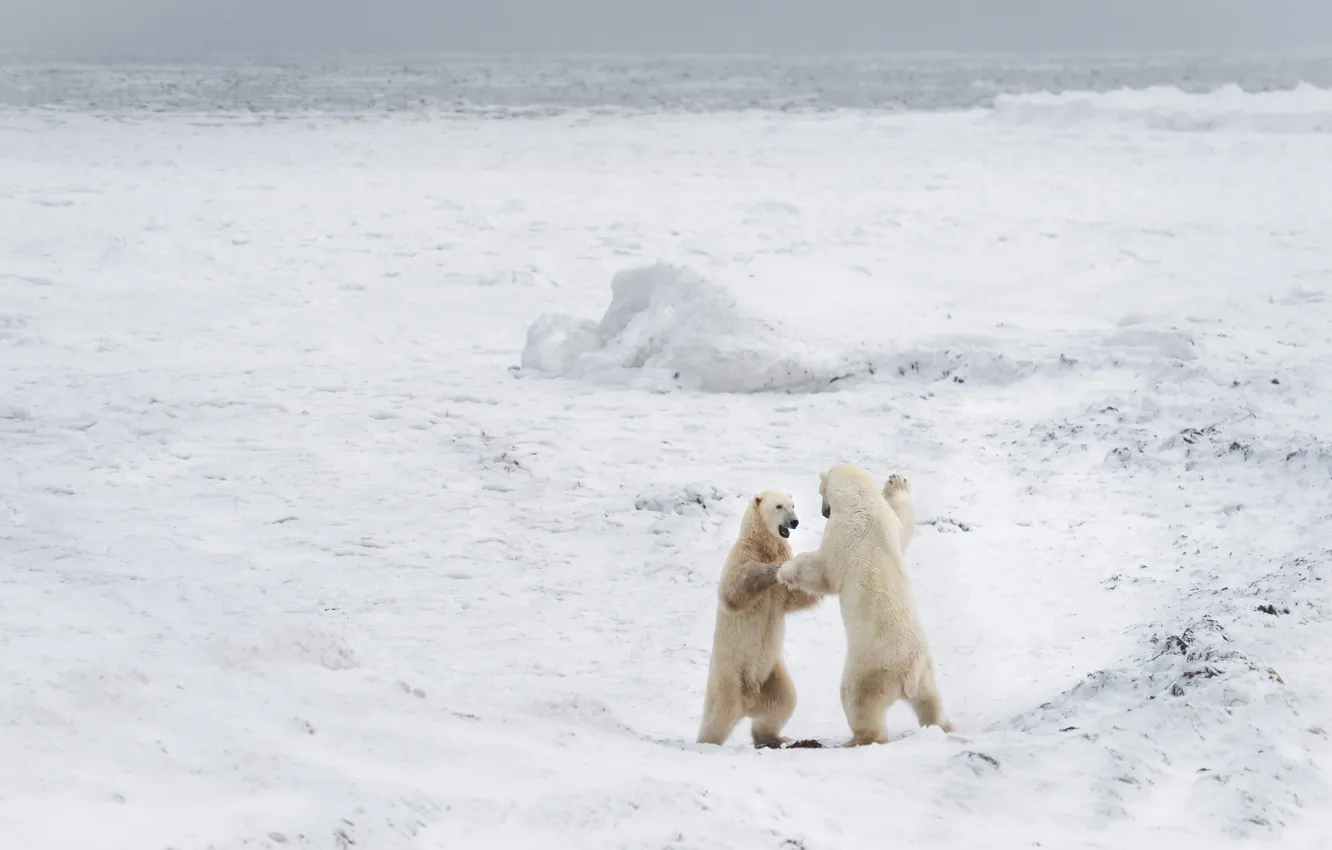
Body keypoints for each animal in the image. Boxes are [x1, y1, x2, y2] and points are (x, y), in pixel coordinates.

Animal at [697, 489, 822, 748]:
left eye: (793, 505)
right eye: (779, 506)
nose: (794, 522)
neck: (763, 544)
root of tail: (749, 701)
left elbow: (795, 597)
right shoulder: (741, 557)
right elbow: (733, 593)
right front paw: (774, 569)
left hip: (770, 674)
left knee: (783, 702)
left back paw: (775, 738)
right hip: (730, 675)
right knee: (720, 713)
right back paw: (707, 742)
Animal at [777, 463, 951, 746]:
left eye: (821, 491)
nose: (824, 511)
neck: (860, 499)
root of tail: (908, 674)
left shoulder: (843, 532)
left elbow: (822, 571)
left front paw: (785, 570)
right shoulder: (889, 521)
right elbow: (903, 526)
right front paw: (897, 483)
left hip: (869, 669)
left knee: (857, 699)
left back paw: (858, 738)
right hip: (925, 671)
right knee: (930, 701)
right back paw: (941, 726)